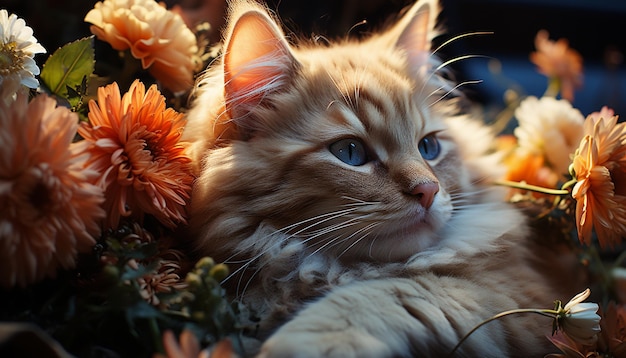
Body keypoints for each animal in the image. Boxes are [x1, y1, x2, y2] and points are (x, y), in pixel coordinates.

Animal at [182, 0, 584, 356]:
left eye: (429, 147)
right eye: (350, 153)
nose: (428, 190)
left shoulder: (515, 292)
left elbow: (388, 294)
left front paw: (305, 341)